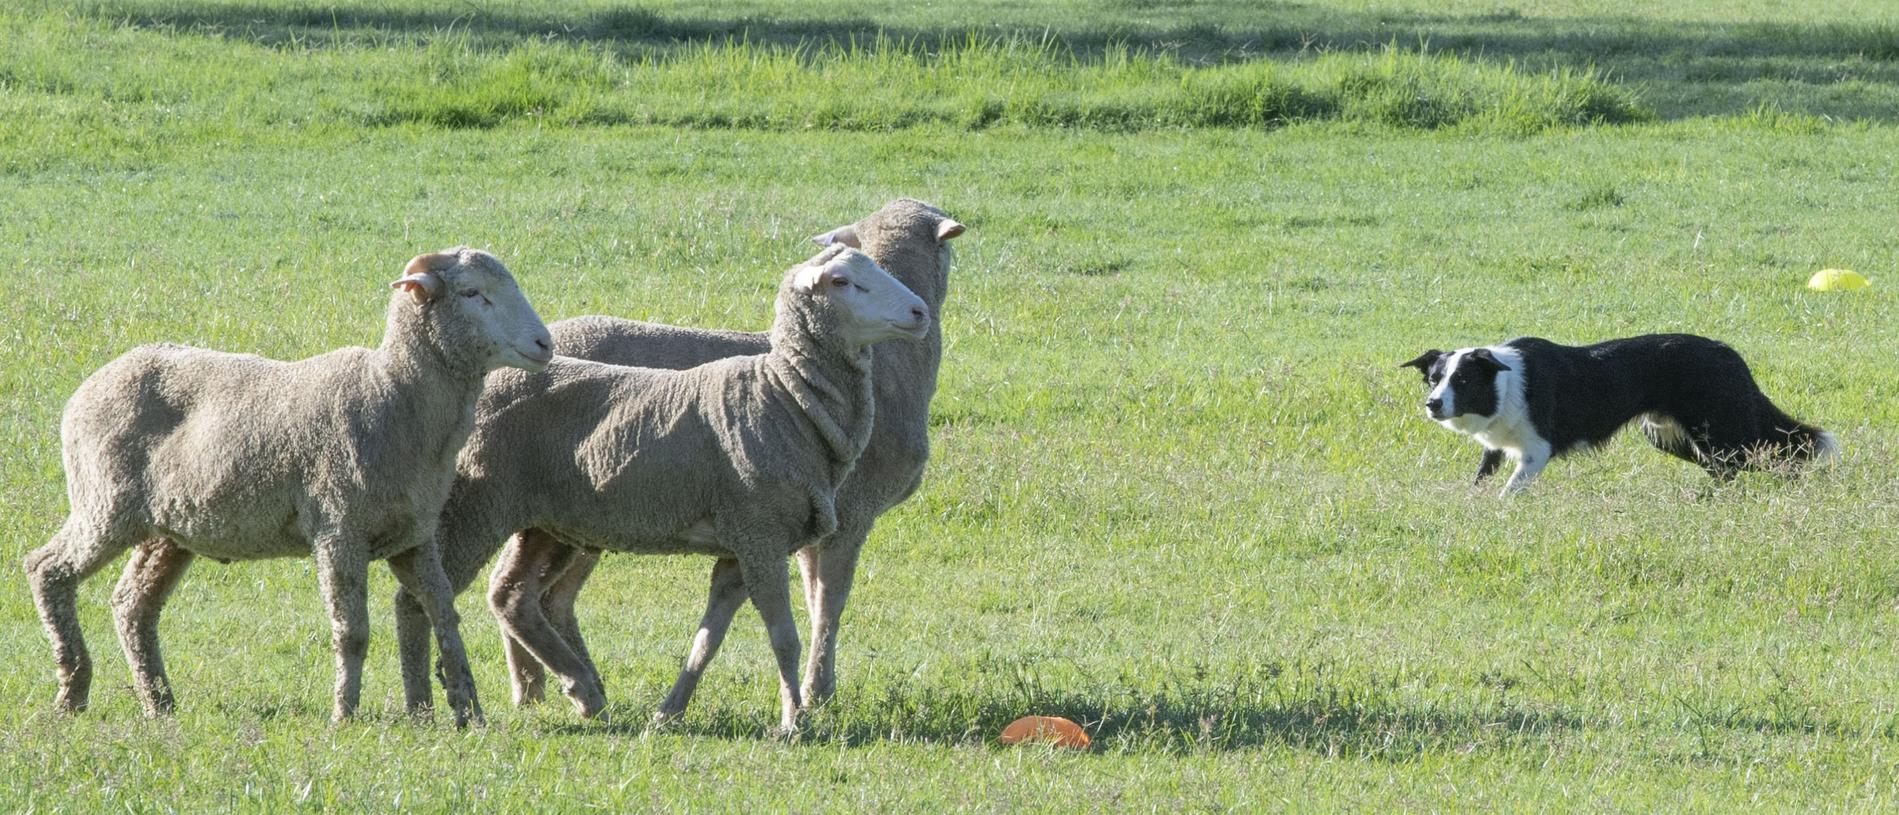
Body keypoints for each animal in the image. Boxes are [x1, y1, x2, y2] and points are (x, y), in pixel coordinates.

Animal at [29, 246, 554, 725]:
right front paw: (345, 714)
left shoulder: (415, 537)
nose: (544, 343)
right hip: (105, 505)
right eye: (472, 293)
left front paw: (470, 712)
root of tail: (94, 382)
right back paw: (73, 689)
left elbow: (444, 615)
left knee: (132, 605)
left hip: (168, 530)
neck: (393, 394)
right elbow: (352, 630)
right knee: (47, 569)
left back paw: (159, 703)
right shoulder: (339, 530)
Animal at [394, 198, 972, 718]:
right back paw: (488, 695)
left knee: (526, 595)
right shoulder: (832, 520)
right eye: (846, 282)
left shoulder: (776, 529)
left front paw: (683, 708)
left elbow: (727, 629)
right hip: (498, 507)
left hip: (557, 521)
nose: (918, 312)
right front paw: (812, 699)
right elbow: (822, 607)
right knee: (463, 595)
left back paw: (565, 687)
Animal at [1405, 332, 1830, 493]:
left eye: (1462, 381)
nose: (1432, 404)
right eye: (1434, 379)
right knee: (1729, 469)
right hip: (1673, 436)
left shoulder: (1537, 451)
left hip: (1724, 429)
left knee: (1781, 452)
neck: (1504, 384)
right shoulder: (1494, 448)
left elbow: (1509, 491)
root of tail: (1728, 353)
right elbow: (1480, 481)